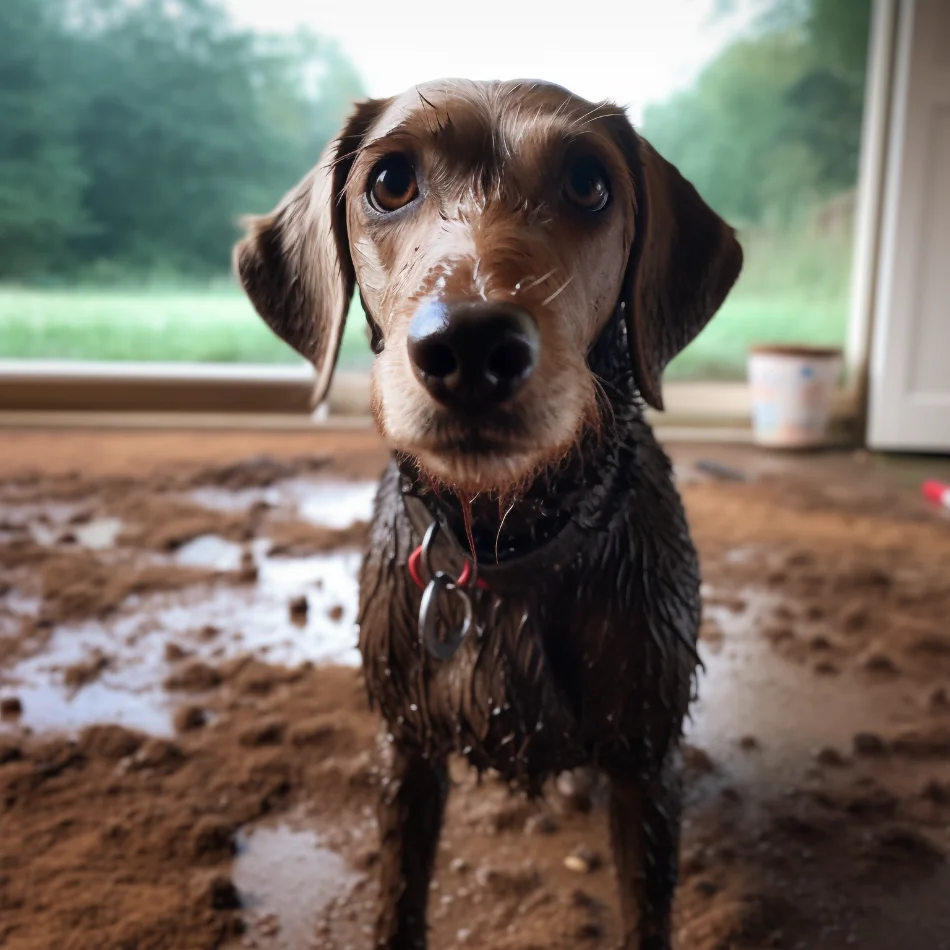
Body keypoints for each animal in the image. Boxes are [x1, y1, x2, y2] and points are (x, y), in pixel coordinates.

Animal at [236, 82, 744, 950]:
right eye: (389, 181)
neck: (506, 539)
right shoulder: (406, 747)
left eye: (589, 184)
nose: (471, 348)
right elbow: (399, 900)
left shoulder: (646, 761)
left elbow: (646, 910)